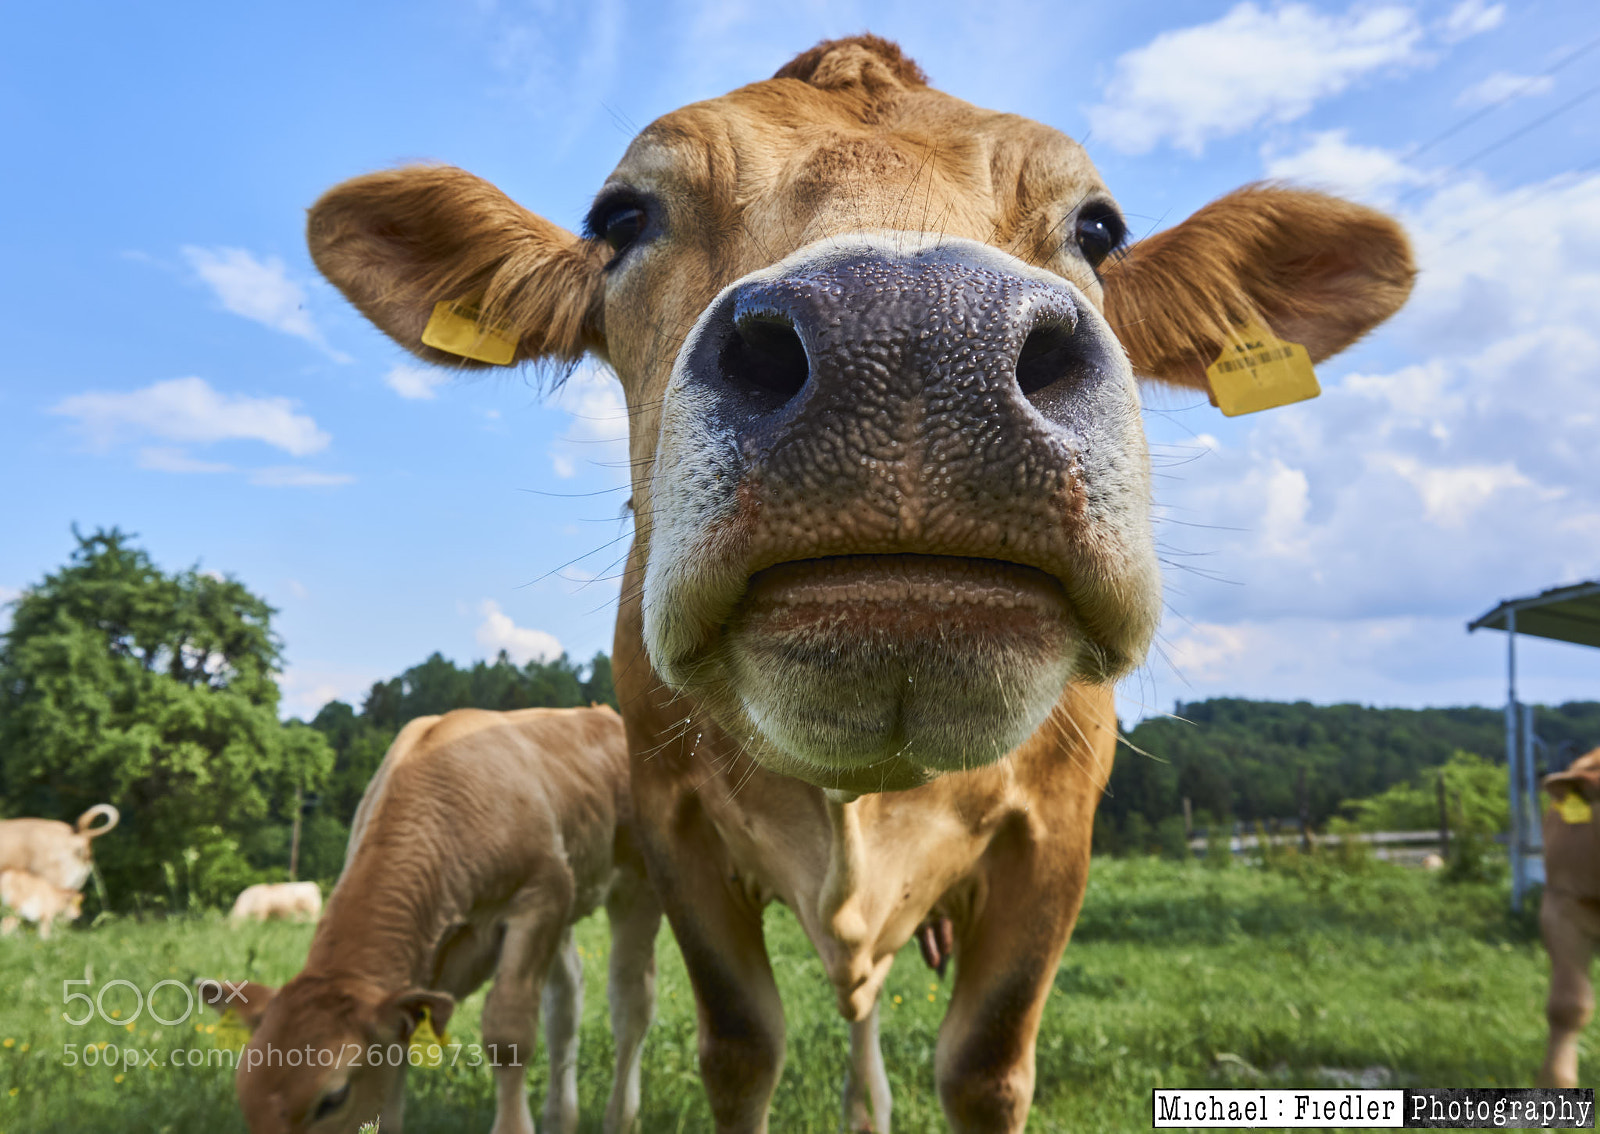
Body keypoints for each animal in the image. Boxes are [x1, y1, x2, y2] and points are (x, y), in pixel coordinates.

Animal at [211, 706, 660, 1134]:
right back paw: (560, 1119)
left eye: (333, 1097)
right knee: (565, 1005)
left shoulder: (540, 896)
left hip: (636, 882)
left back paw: (622, 1119)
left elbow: (508, 1033)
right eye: (244, 1094)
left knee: (630, 1002)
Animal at [305, 35, 1414, 1131]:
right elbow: (739, 1048)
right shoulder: (673, 830)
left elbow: (985, 1066)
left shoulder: (1057, 834)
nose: (915, 337)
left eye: (1098, 227)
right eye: (624, 216)